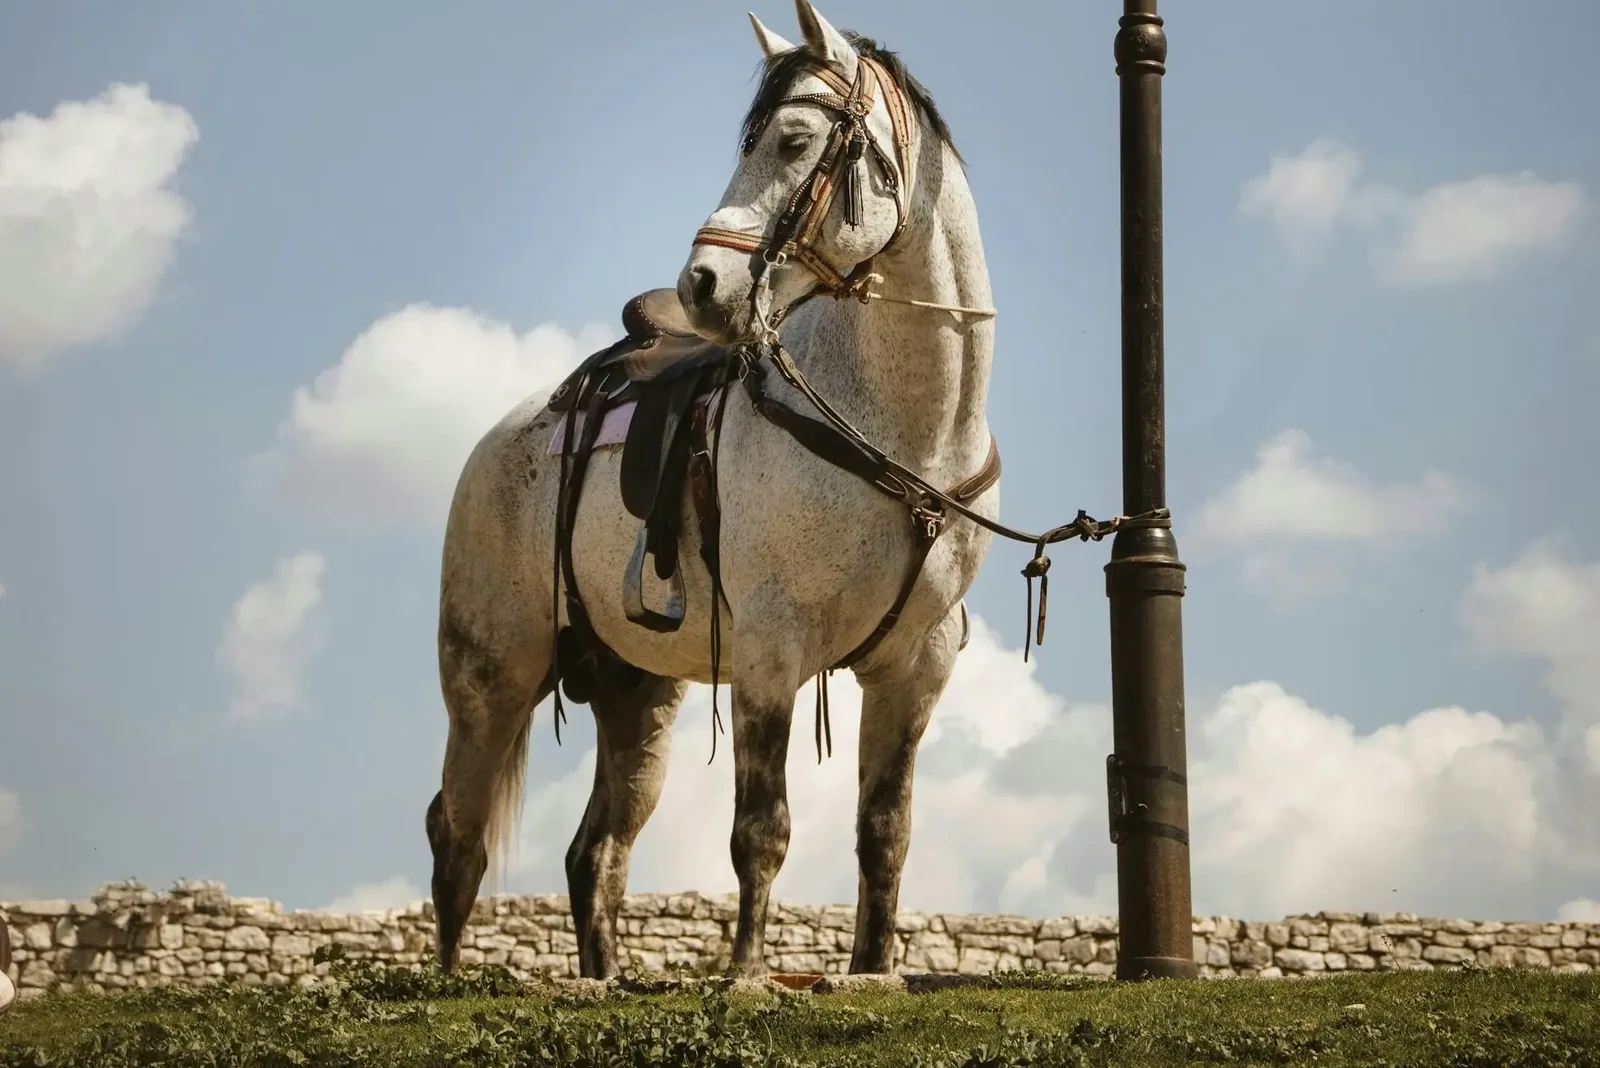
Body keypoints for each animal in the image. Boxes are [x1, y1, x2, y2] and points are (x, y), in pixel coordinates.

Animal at [427, 0, 1010, 980]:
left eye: (793, 139)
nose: (702, 284)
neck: (903, 434)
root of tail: (491, 447)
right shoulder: (773, 652)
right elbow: (761, 831)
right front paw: (743, 976)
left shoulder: (913, 669)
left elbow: (884, 832)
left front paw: (872, 972)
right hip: (491, 678)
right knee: (456, 833)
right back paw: (441, 982)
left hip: (636, 696)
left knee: (596, 851)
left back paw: (602, 978)